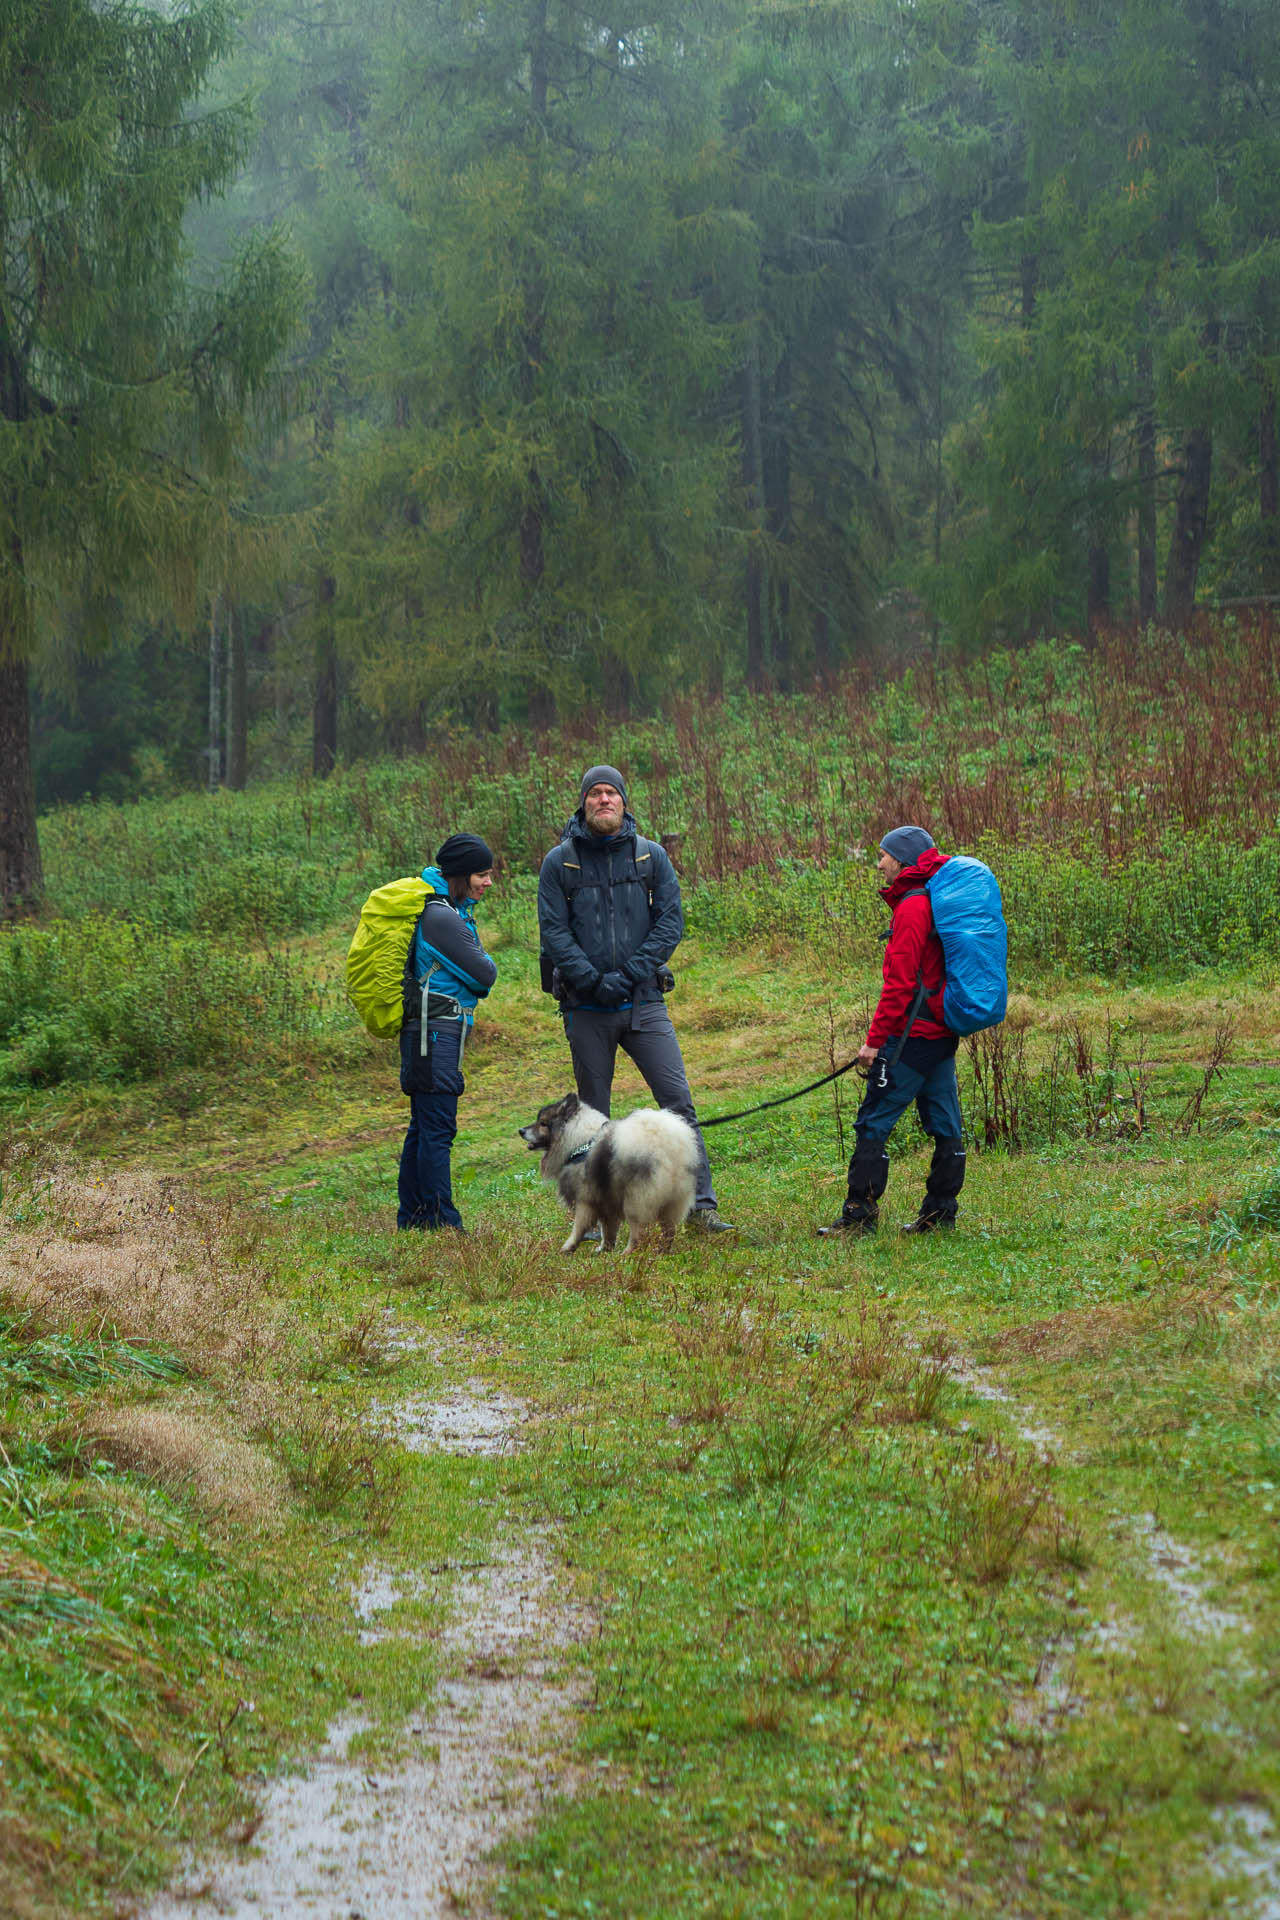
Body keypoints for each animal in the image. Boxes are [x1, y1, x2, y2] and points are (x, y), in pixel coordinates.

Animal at [518, 1098, 702, 1259]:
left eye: (542, 1123)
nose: (521, 1131)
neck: (579, 1143)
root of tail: (669, 1147)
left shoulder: (585, 1201)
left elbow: (578, 1227)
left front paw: (567, 1248)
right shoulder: (607, 1202)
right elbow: (608, 1230)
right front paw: (605, 1249)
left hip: (636, 1200)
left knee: (638, 1232)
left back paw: (627, 1253)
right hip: (672, 1201)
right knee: (669, 1230)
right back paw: (663, 1251)